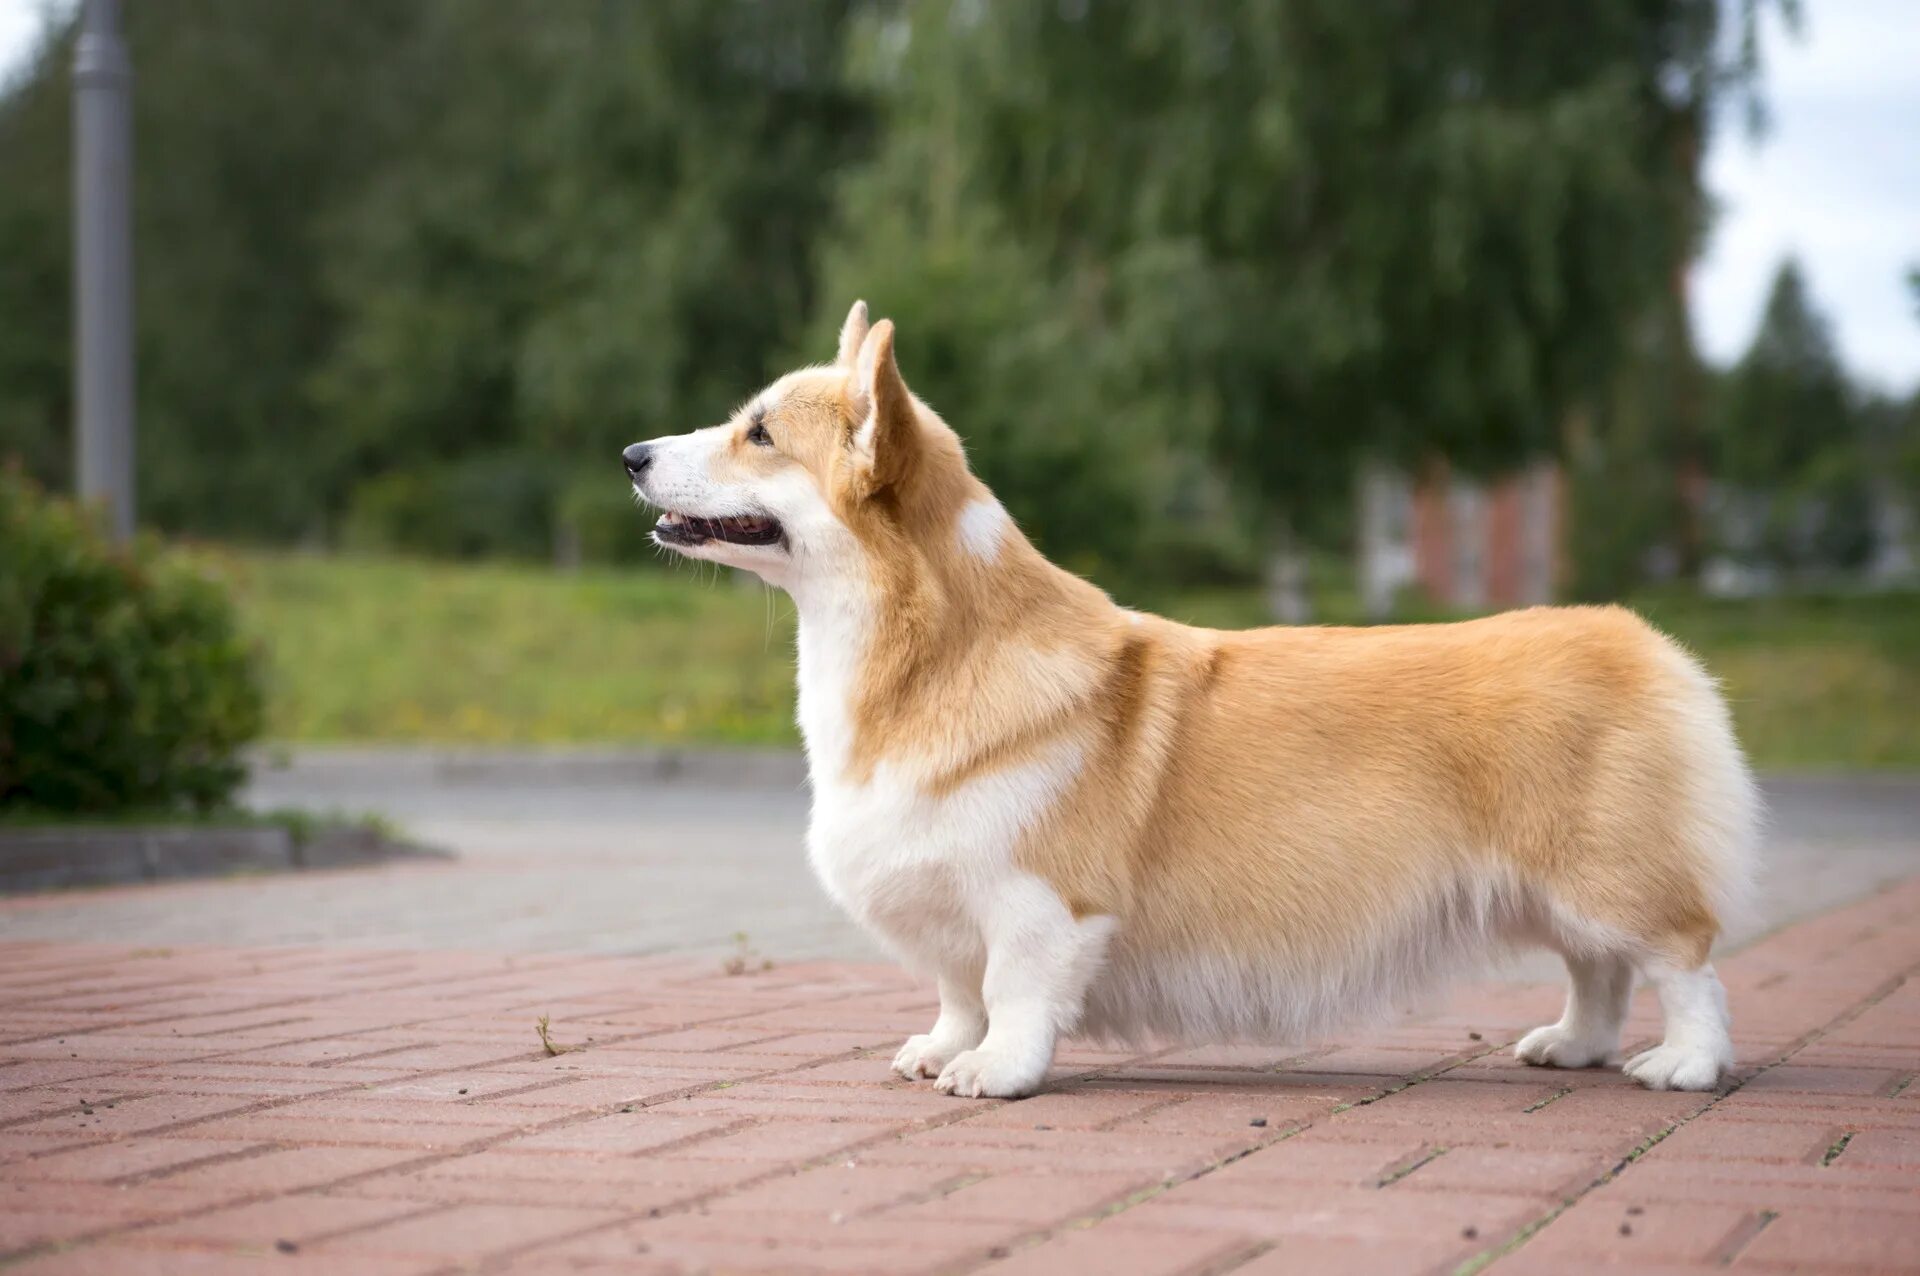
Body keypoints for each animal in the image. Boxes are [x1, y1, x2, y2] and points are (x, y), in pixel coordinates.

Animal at [625, 303, 1758, 1097]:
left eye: (759, 435)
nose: (631, 454)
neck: (926, 652)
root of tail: (1643, 641)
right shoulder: (945, 905)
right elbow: (955, 990)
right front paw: (939, 1050)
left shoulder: (1039, 901)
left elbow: (1013, 992)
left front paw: (994, 1073)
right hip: (1553, 890)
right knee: (1599, 974)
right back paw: (1572, 1046)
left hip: (1605, 875)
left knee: (1683, 961)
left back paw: (1683, 1066)